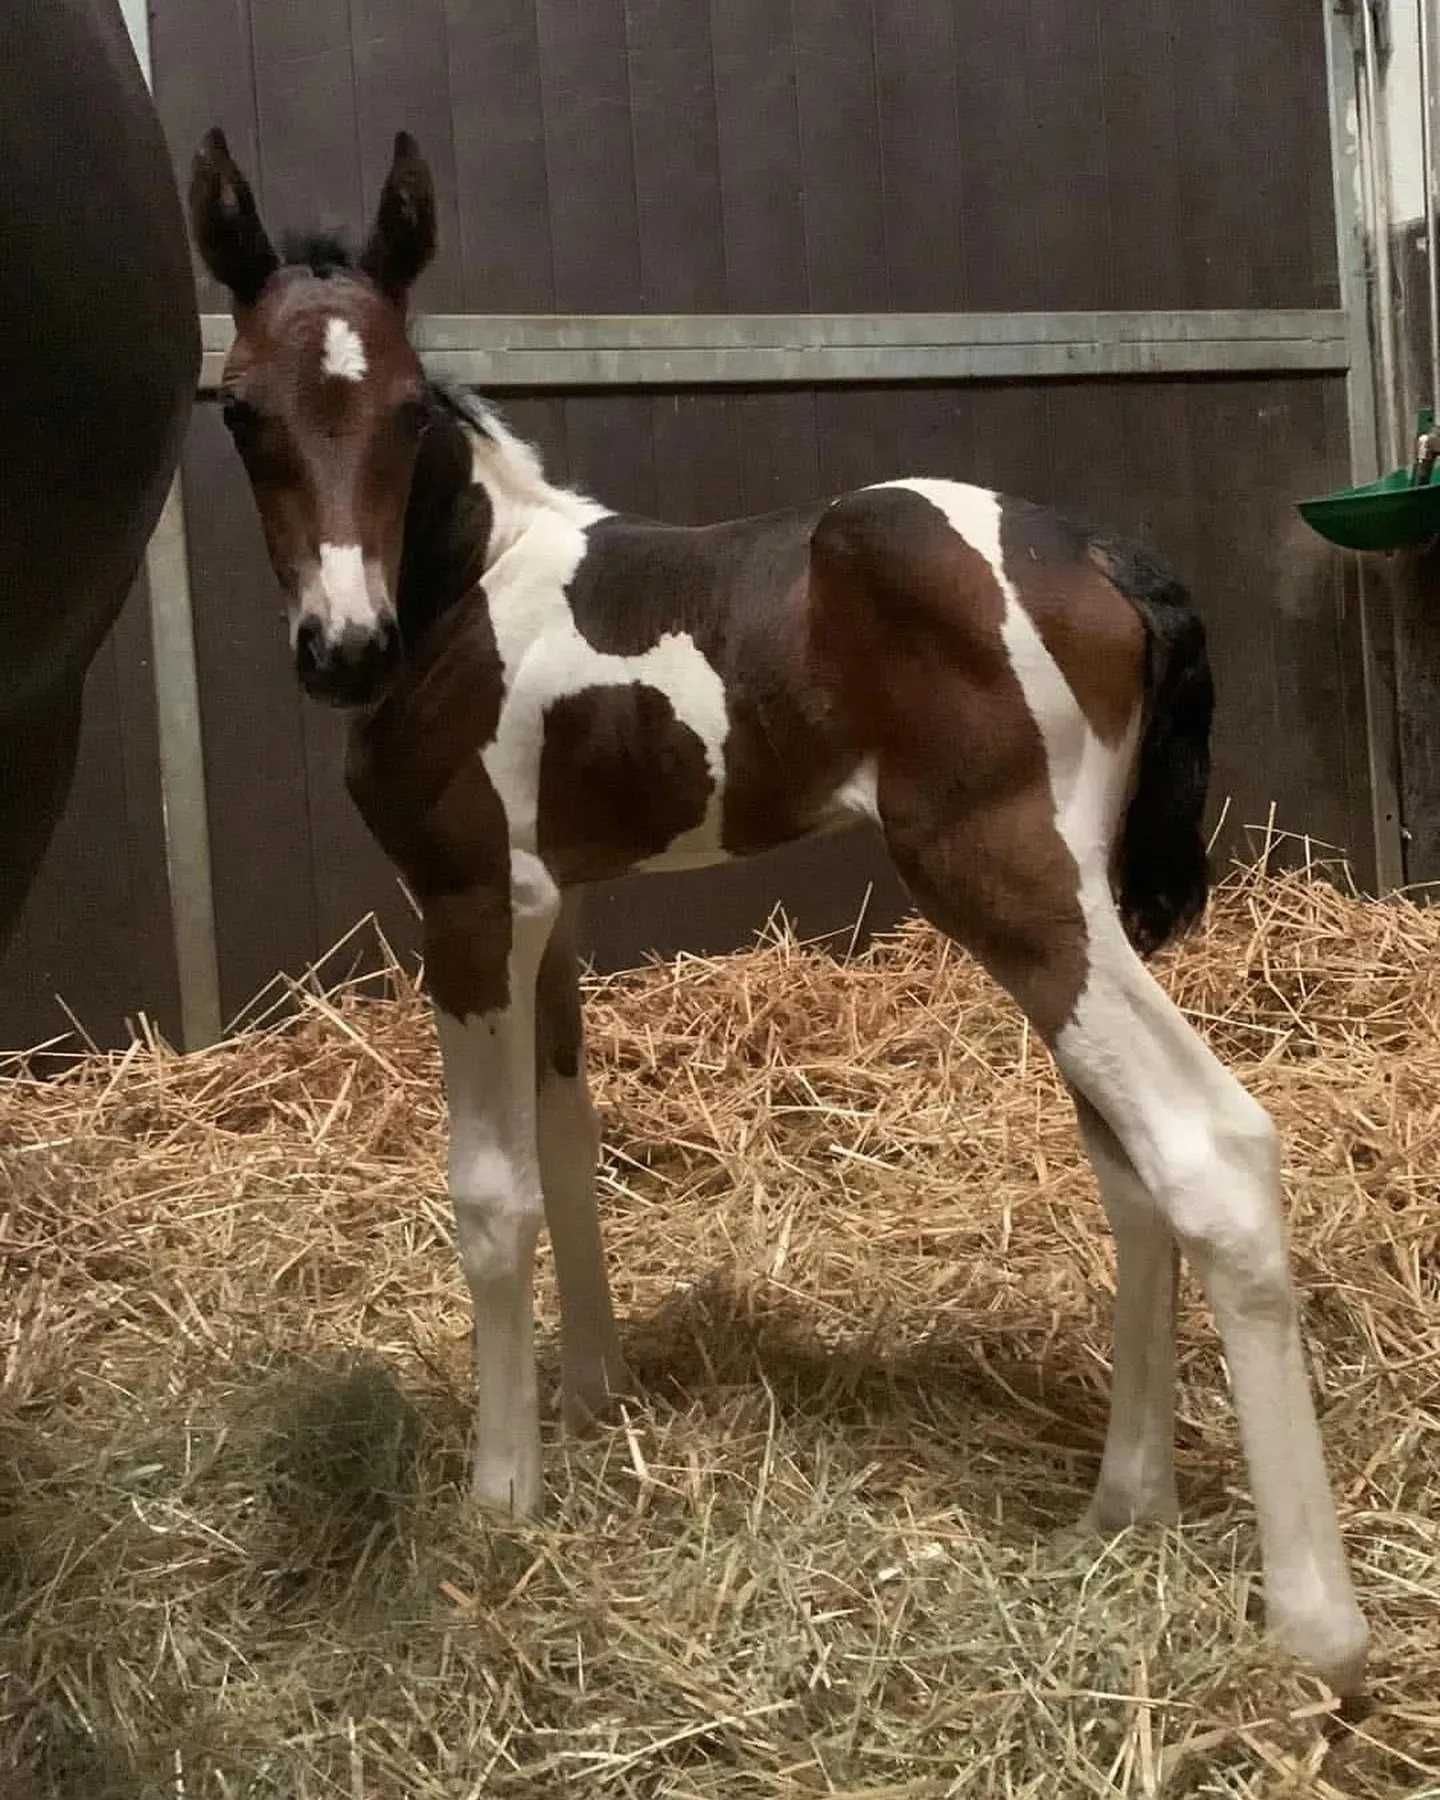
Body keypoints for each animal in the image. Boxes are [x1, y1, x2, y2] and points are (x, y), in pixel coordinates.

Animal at [194, 130, 1375, 1699]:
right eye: (242, 411)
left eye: (400, 409)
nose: (342, 649)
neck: (466, 595)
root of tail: (1103, 557)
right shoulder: (557, 911)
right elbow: (572, 1150)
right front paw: (593, 1400)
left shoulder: (472, 904)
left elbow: (495, 1196)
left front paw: (502, 1497)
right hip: (1072, 899)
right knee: (1130, 1170)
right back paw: (1125, 1502)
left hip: (1010, 882)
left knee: (1211, 1149)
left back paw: (1317, 1629)